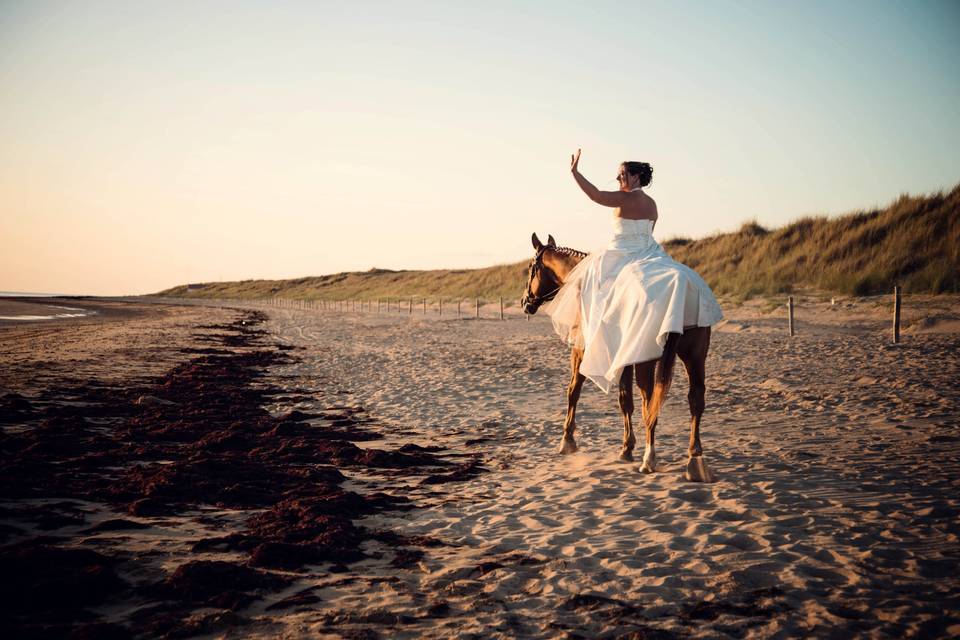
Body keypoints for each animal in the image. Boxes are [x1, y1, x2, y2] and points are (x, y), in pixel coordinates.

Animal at [520, 231, 716, 480]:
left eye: (530, 268)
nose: (525, 302)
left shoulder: (580, 352)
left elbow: (573, 391)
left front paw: (567, 440)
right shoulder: (623, 360)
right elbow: (625, 401)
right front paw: (626, 448)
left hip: (647, 362)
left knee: (649, 403)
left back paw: (649, 459)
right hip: (695, 357)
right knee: (695, 399)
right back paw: (694, 456)